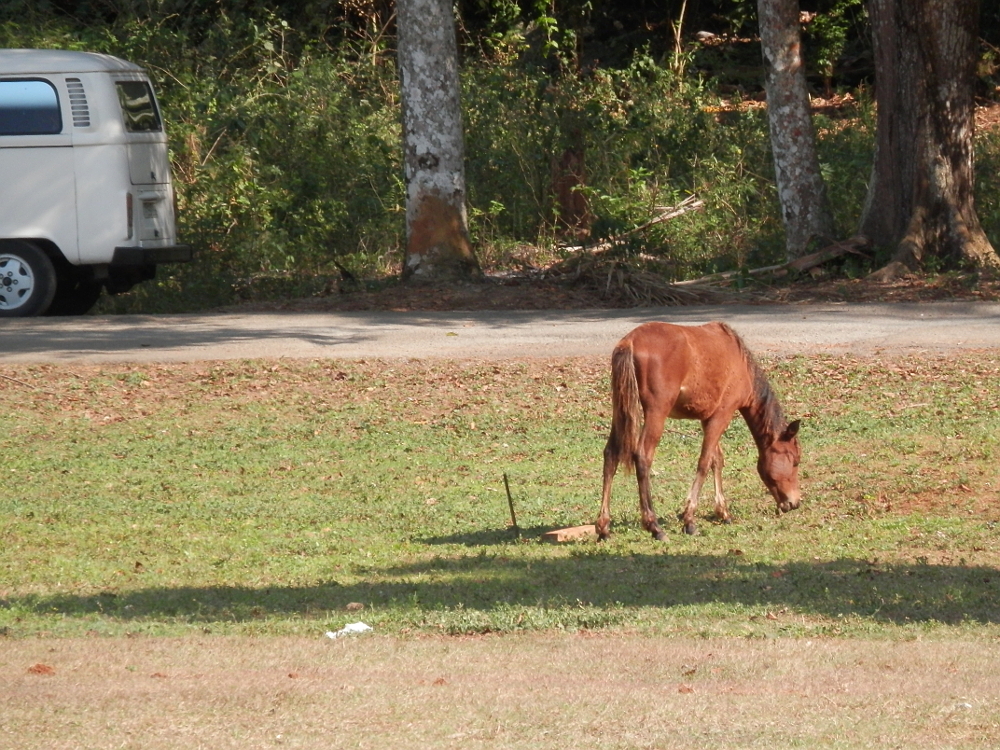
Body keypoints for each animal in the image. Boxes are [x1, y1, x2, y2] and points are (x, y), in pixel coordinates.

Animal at [592, 322, 804, 540]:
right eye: (796, 461)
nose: (794, 502)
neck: (741, 364)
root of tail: (630, 342)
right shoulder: (721, 415)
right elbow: (704, 462)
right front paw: (689, 519)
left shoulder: (707, 418)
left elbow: (716, 460)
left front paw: (723, 512)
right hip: (656, 412)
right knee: (642, 457)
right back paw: (654, 526)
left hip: (620, 410)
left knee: (611, 455)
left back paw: (604, 527)